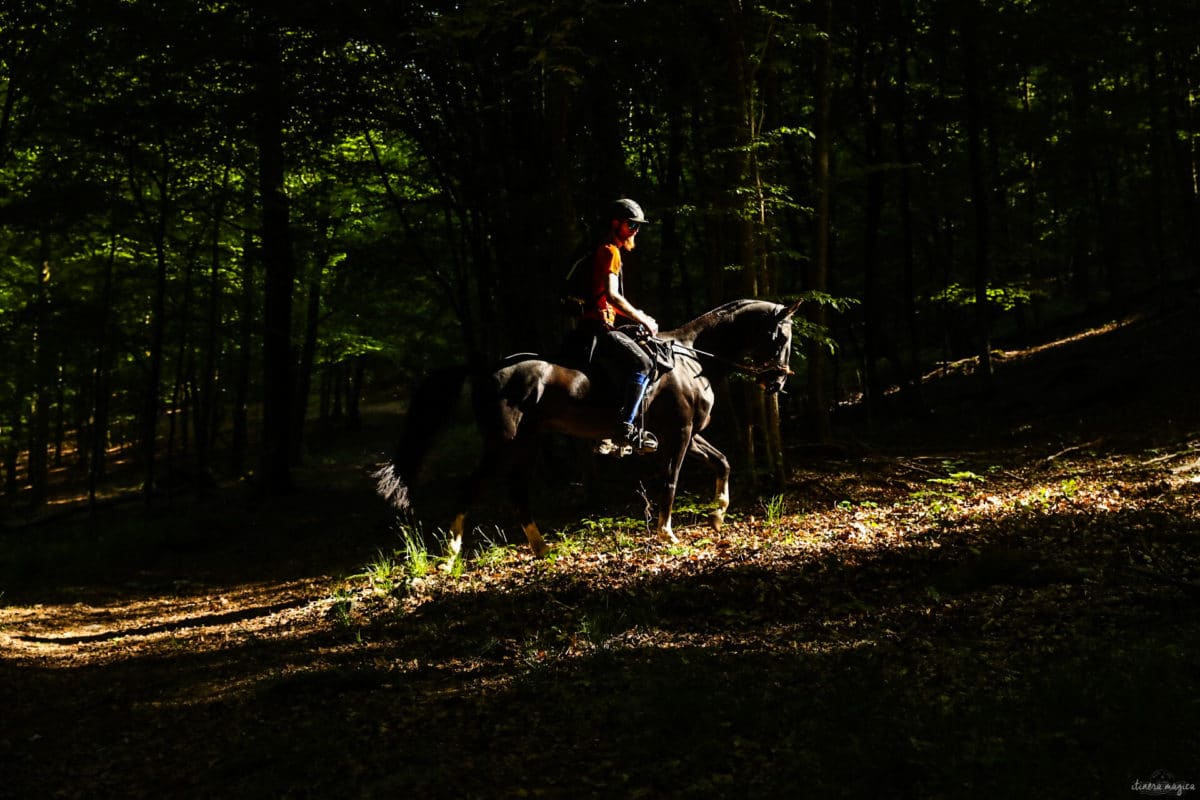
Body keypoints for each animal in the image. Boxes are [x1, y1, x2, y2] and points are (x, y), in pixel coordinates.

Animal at [374, 297, 801, 566]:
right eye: (781, 336)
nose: (779, 382)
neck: (691, 359)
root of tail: (486, 368)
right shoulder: (679, 433)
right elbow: (671, 480)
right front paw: (667, 533)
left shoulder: (686, 433)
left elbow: (723, 462)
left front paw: (717, 514)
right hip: (502, 442)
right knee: (473, 487)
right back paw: (451, 554)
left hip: (527, 442)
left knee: (517, 490)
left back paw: (541, 547)